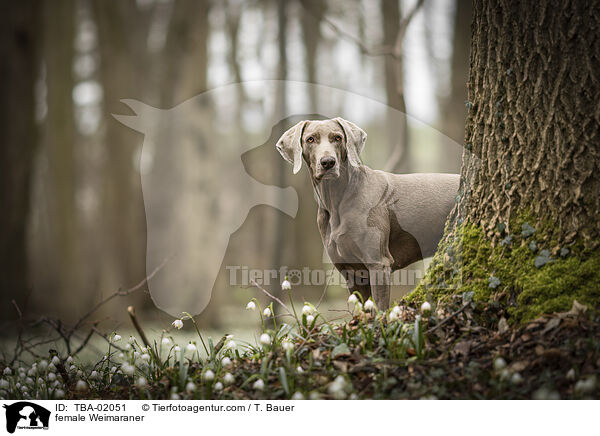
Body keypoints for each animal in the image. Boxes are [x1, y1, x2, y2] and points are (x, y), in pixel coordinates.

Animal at [276, 118, 460, 310]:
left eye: (338, 137)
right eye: (310, 139)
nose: (328, 162)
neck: (337, 201)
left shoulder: (378, 264)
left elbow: (380, 310)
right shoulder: (352, 273)